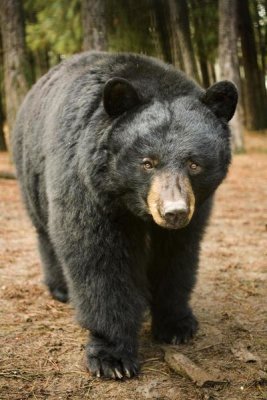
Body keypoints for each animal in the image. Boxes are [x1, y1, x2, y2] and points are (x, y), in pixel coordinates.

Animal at [12, 51, 239, 380]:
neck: (128, 202)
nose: (173, 212)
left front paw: (176, 324)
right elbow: (99, 259)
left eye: (194, 163)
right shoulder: (87, 187)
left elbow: (177, 255)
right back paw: (60, 288)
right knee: (45, 231)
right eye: (147, 162)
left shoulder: (196, 209)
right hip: (30, 169)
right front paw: (112, 356)